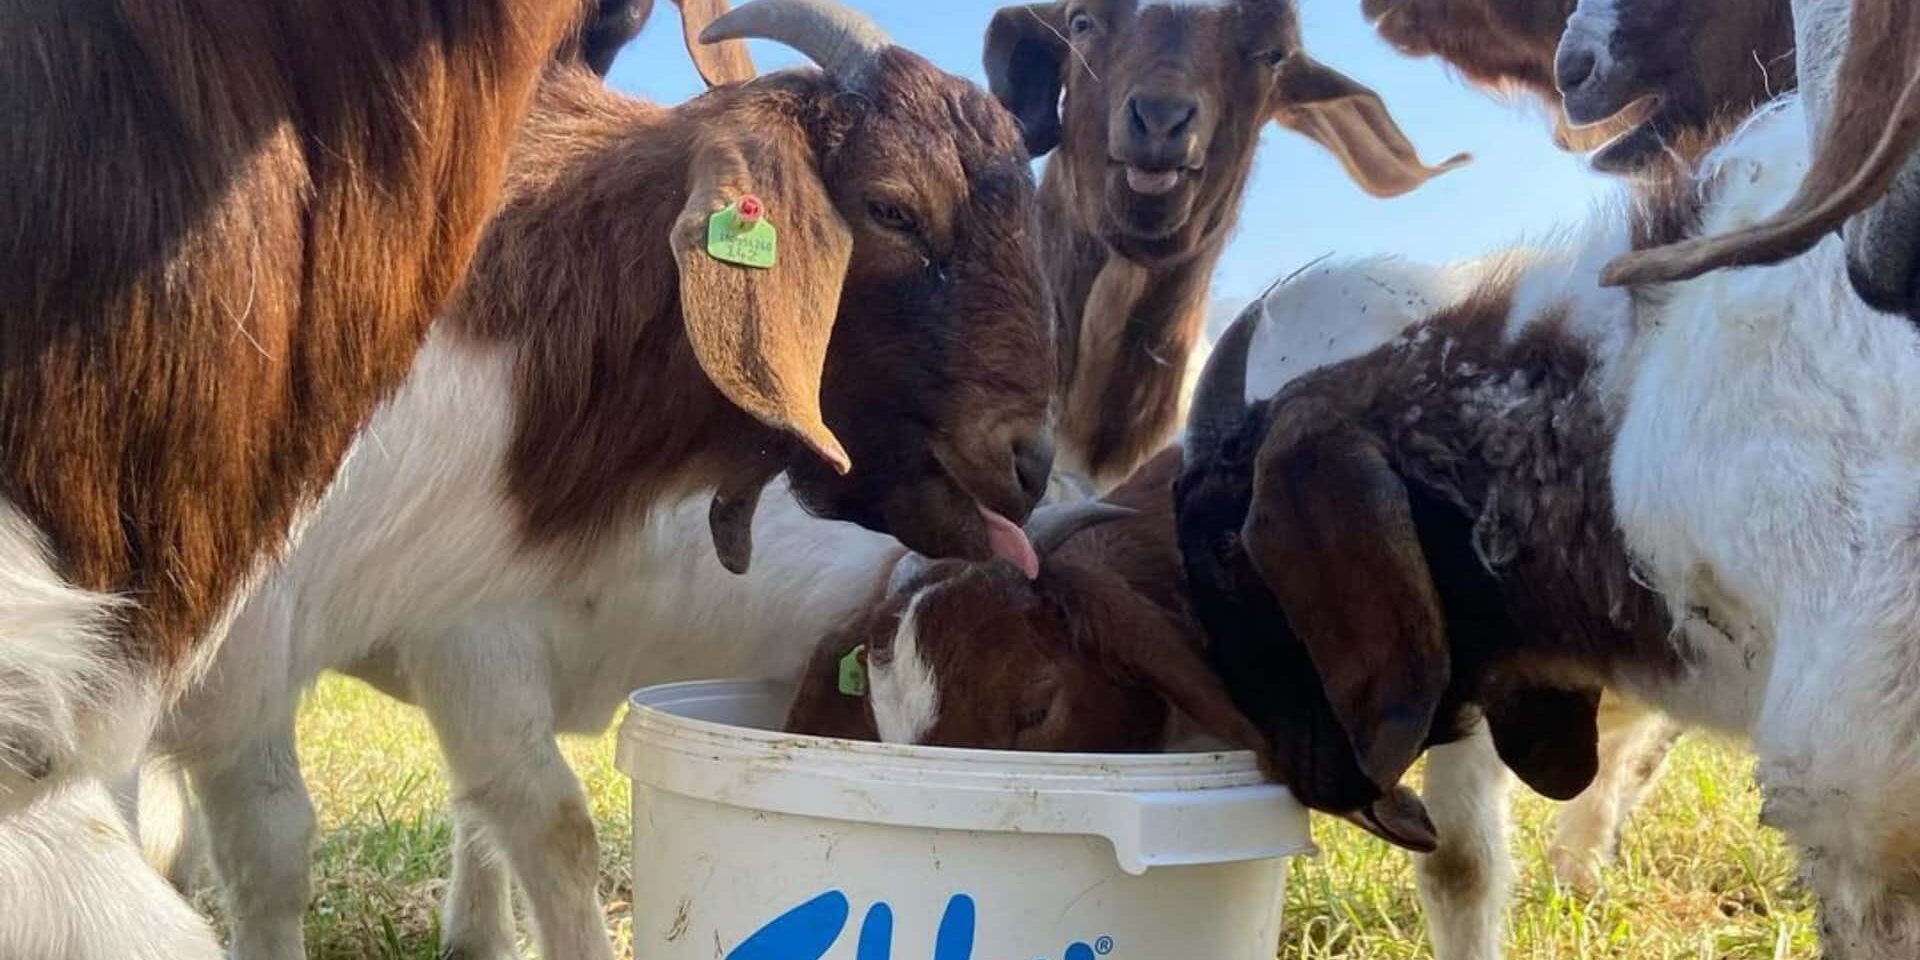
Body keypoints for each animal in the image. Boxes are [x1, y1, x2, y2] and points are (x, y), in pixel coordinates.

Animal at [157, 2, 1058, 956]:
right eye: (893, 209)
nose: (1032, 464)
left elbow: (484, 812)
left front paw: (477, 934)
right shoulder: (420, 639)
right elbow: (527, 827)